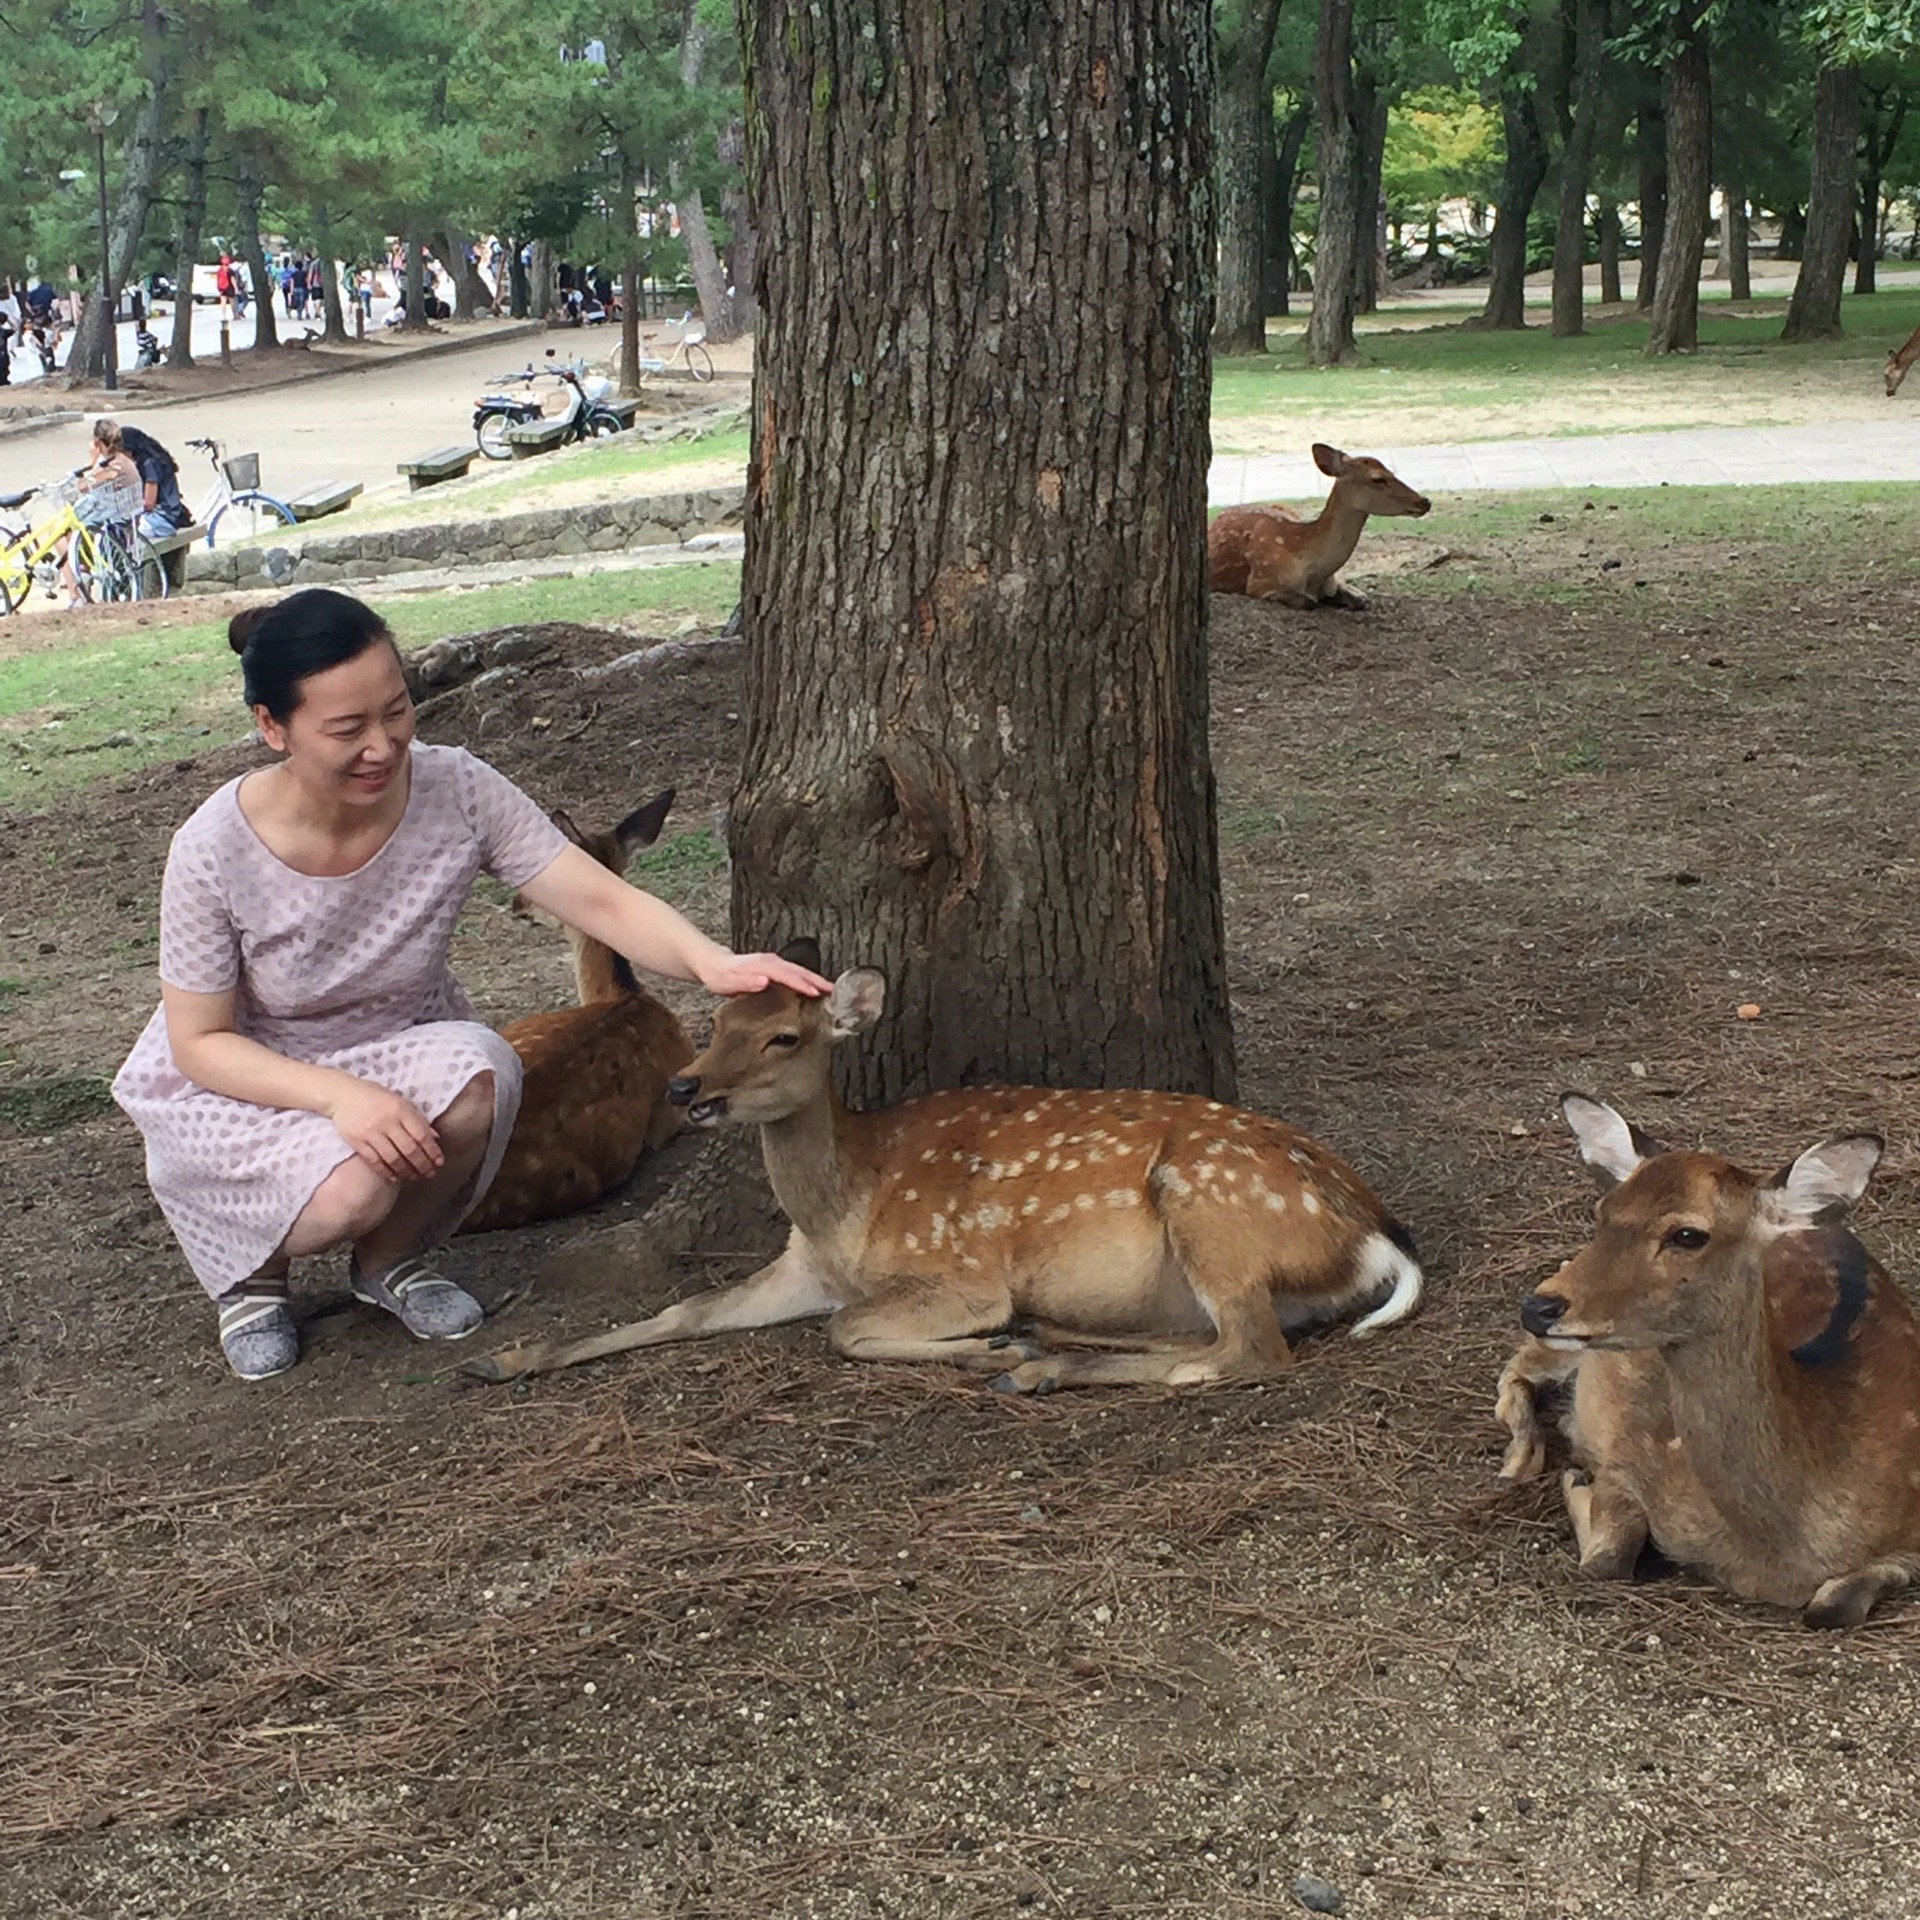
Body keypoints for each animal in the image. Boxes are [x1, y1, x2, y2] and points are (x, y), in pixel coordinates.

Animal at [464, 944, 1420, 1397]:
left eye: (784, 1038)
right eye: (718, 1019)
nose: (685, 1087)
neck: (846, 1211)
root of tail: (1380, 1237)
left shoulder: (958, 1272)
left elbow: (846, 1333)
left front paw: (984, 1343)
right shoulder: (799, 1269)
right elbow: (684, 1310)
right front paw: (509, 1358)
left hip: (1210, 1200)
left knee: (1251, 1350)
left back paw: (1034, 1363)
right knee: (1210, 1338)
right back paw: (1050, 1343)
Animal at [1205, 441, 1436, 606]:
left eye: (1392, 472)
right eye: (1378, 478)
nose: (1425, 501)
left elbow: (1359, 600)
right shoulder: (1260, 582)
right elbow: (1309, 602)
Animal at [1497, 1105, 1920, 1628]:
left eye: (1687, 1234)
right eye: (1602, 1213)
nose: (1538, 1306)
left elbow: (1831, 1608)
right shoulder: (1629, 1454)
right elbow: (1605, 1560)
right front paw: (1575, 1478)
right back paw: (1519, 1460)